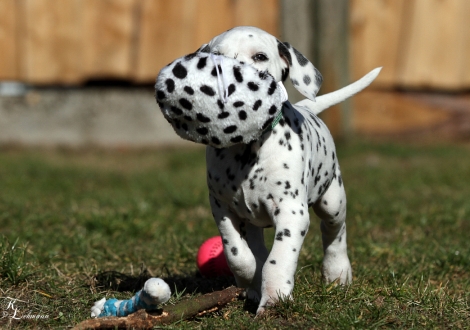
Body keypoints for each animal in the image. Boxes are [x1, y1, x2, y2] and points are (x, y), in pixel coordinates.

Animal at [156, 26, 380, 314]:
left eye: (260, 56)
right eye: (215, 56)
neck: (248, 151)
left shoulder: (292, 213)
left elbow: (278, 259)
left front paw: (274, 298)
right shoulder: (222, 208)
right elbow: (238, 254)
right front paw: (250, 281)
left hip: (332, 200)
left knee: (334, 232)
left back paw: (337, 273)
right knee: (256, 245)